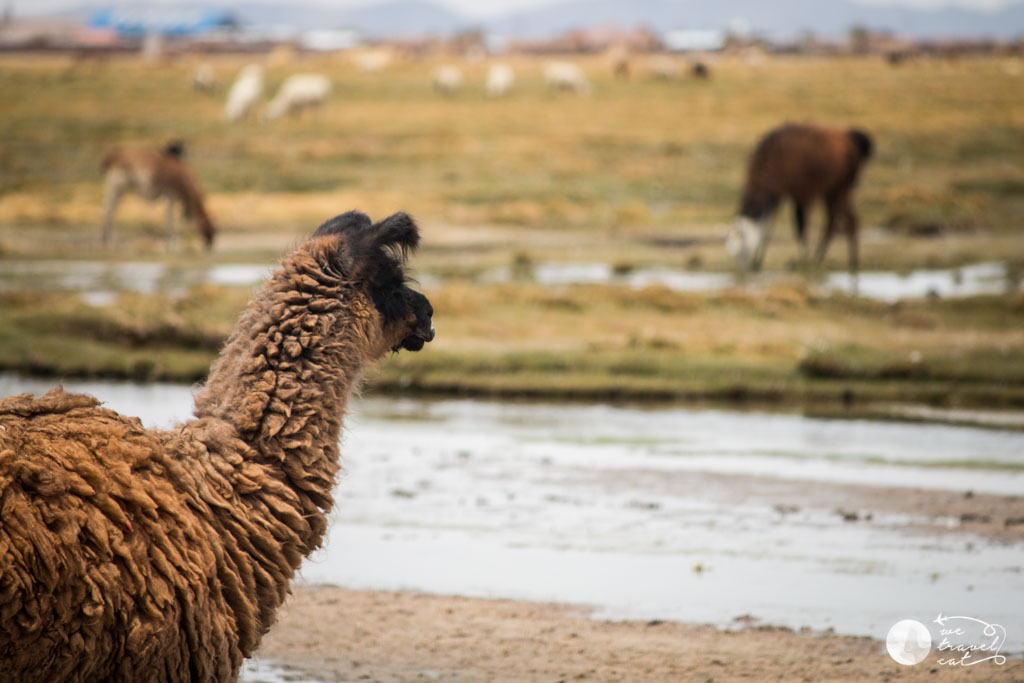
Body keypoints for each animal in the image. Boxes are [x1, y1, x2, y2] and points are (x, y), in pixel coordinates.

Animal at [729, 124, 872, 274]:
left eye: (741, 245)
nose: (740, 268)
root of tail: (852, 140)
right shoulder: (777, 194)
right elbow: (767, 229)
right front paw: (757, 262)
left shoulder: (800, 192)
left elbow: (801, 228)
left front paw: (803, 261)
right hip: (833, 190)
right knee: (846, 220)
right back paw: (850, 261)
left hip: (840, 188)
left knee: (835, 222)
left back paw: (820, 259)